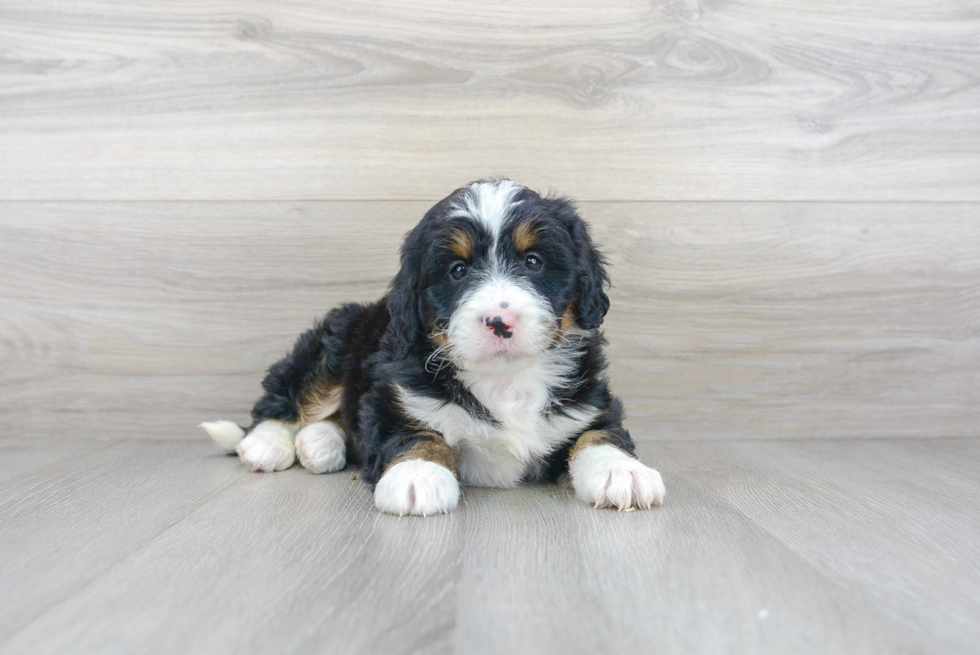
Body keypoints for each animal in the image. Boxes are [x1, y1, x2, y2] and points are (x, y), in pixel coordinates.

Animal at [201, 179, 668, 516]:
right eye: (457, 270)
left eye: (533, 262)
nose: (499, 321)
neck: (505, 380)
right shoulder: (396, 398)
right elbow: (416, 433)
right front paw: (418, 476)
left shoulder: (587, 402)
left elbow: (599, 434)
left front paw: (622, 472)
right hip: (334, 342)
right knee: (287, 397)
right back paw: (268, 444)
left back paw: (320, 443)